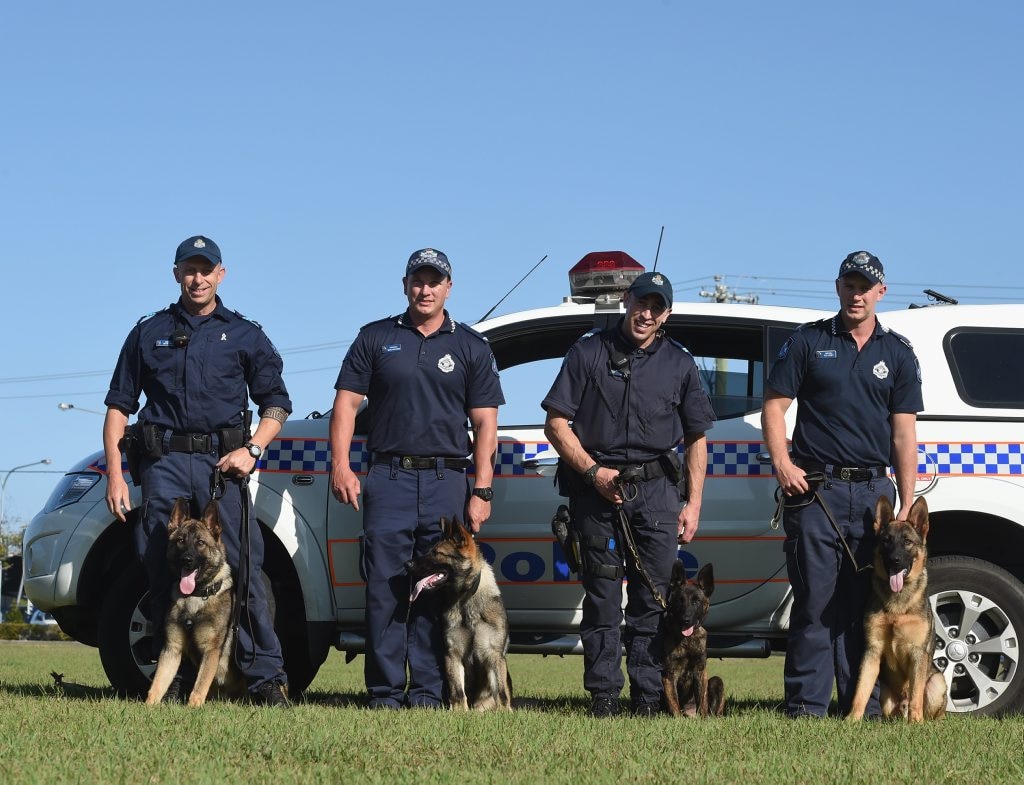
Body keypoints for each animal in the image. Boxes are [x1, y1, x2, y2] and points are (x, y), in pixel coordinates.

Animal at [145, 499, 244, 708]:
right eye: (180, 541)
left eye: (200, 543)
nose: (187, 560)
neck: (196, 596)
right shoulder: (171, 649)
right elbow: (158, 683)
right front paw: (148, 706)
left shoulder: (211, 651)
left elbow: (200, 686)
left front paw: (193, 708)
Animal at [403, 515, 507, 712]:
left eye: (436, 553)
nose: (406, 564)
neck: (466, 598)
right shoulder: (453, 654)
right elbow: (458, 691)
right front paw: (459, 712)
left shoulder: (494, 655)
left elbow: (502, 693)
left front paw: (506, 713)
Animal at [659, 556, 724, 720]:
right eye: (680, 600)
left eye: (696, 601)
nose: (686, 620)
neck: (686, 640)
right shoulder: (669, 675)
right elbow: (674, 703)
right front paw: (677, 720)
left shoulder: (700, 672)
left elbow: (702, 700)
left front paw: (703, 719)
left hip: (717, 681)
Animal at [843, 497, 946, 724]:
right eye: (886, 541)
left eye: (907, 542)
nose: (895, 560)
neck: (897, 608)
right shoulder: (872, 651)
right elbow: (860, 691)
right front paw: (851, 720)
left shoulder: (918, 654)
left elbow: (916, 694)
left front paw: (916, 723)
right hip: (884, 692)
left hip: (937, 683)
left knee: (931, 708)